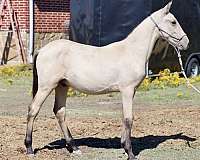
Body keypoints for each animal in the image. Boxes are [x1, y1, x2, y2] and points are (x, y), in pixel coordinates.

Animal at [24, 1, 189, 160]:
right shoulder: (127, 90)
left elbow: (125, 117)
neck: (132, 51)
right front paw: (130, 153)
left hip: (62, 86)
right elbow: (128, 118)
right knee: (33, 110)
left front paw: (124, 147)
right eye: (173, 22)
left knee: (59, 112)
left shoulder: (130, 91)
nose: (186, 43)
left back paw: (74, 148)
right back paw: (30, 148)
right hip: (46, 87)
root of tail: (42, 50)